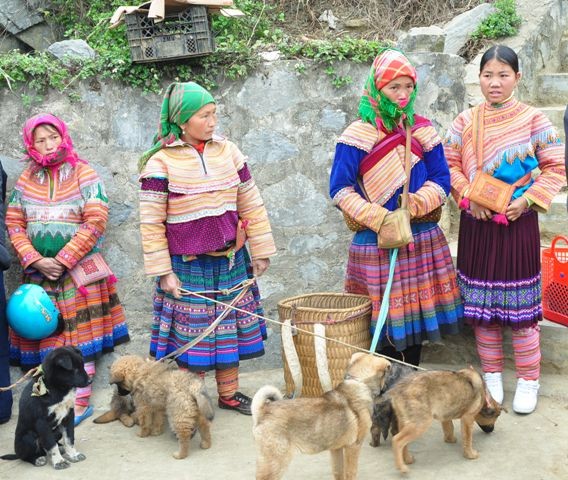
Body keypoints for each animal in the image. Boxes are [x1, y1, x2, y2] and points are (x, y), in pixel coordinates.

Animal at [252, 352, 390, 480]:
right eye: (386, 374)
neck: (359, 382)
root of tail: (263, 410)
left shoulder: (336, 449)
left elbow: (338, 472)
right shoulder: (353, 447)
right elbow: (351, 473)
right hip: (275, 461)